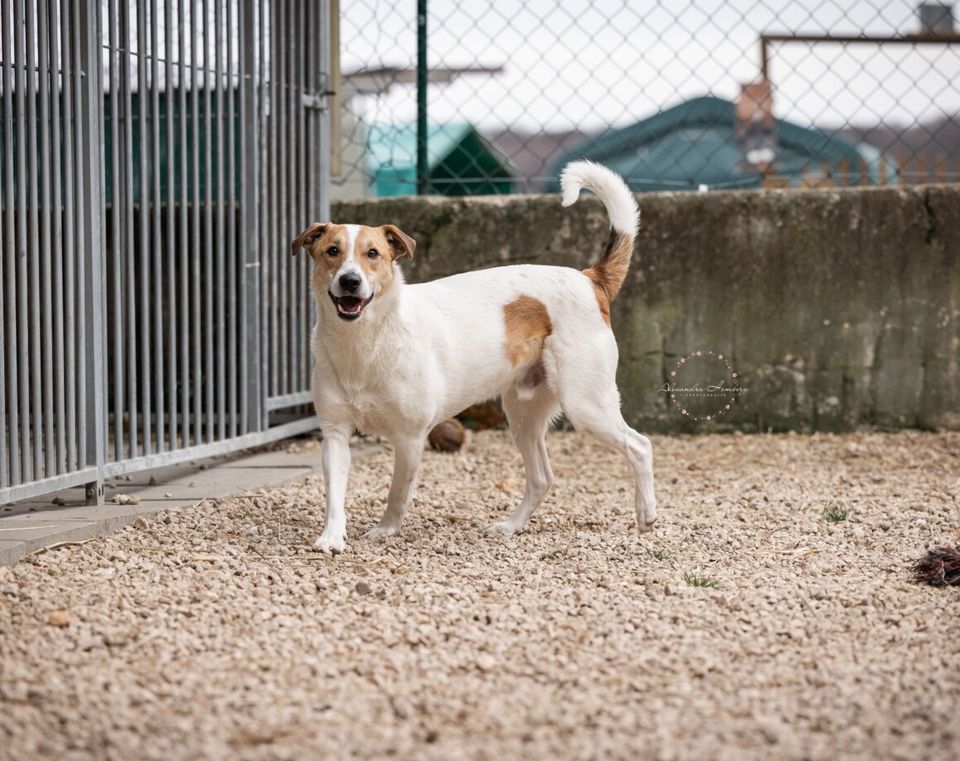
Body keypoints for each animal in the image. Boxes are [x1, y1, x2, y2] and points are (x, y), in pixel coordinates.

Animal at [290, 160, 652, 552]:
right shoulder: (335, 432)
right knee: (542, 477)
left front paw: (386, 530)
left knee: (640, 445)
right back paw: (511, 526)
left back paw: (646, 514)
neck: (363, 342)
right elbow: (334, 494)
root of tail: (590, 279)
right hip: (523, 414)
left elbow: (397, 493)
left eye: (372, 254)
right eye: (332, 251)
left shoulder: (409, 437)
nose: (350, 281)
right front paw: (331, 537)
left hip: (586, 404)